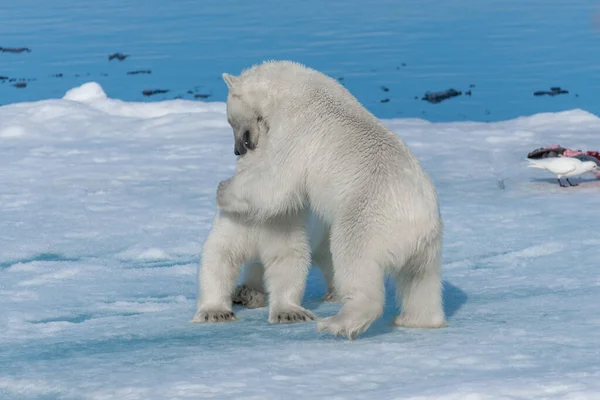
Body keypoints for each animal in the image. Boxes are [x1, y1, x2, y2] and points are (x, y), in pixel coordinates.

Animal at [216, 61, 446, 340]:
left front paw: (223, 189)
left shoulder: (296, 130)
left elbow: (275, 180)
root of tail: (420, 221)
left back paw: (337, 323)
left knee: (353, 259)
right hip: (429, 245)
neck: (293, 88)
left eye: (230, 121)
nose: (237, 149)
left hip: (368, 218)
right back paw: (415, 320)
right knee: (421, 281)